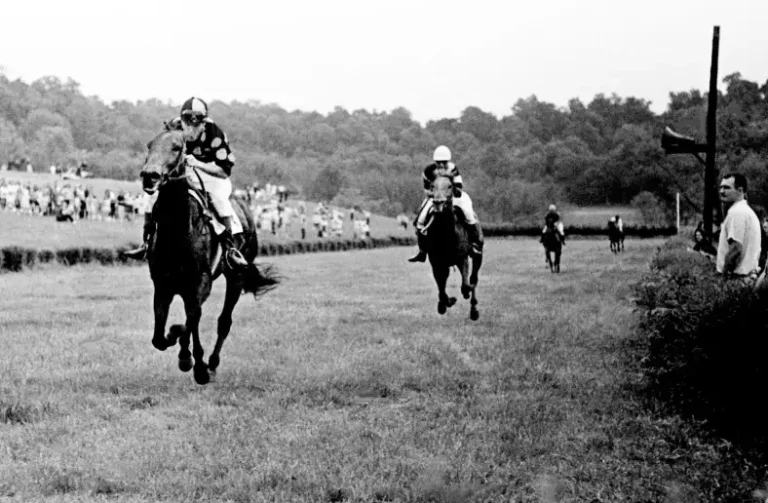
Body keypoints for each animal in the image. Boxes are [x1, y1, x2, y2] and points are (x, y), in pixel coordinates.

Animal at [140, 125, 280, 386]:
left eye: (177, 147)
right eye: (149, 145)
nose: (149, 175)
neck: (177, 231)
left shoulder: (200, 282)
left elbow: (192, 318)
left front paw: (196, 365)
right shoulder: (163, 283)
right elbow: (159, 337)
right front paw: (180, 347)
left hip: (236, 275)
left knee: (223, 321)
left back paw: (212, 365)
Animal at [424, 175, 484, 320]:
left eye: (450, 186)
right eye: (432, 186)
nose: (438, 202)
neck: (446, 235)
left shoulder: (462, 258)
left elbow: (466, 285)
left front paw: (465, 294)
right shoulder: (437, 263)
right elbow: (441, 286)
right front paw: (446, 303)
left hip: (478, 254)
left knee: (474, 278)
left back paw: (474, 310)